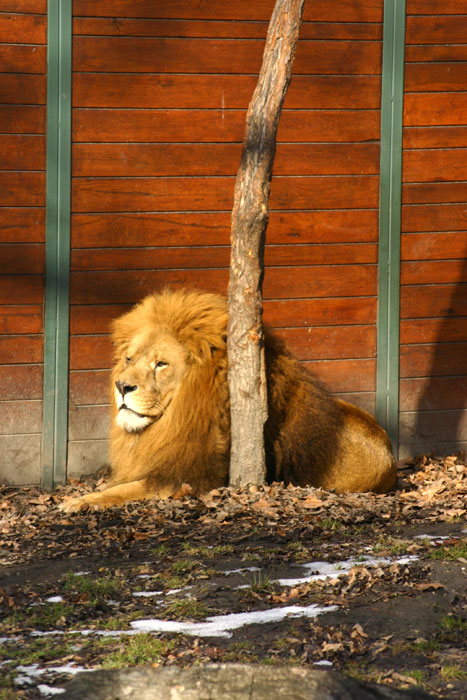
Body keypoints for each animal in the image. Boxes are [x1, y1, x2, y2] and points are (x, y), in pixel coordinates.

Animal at [62, 288, 396, 512]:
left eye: (161, 364)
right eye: (129, 358)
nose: (121, 386)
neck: (177, 418)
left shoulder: (192, 477)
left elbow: (124, 490)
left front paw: (75, 501)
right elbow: (119, 484)